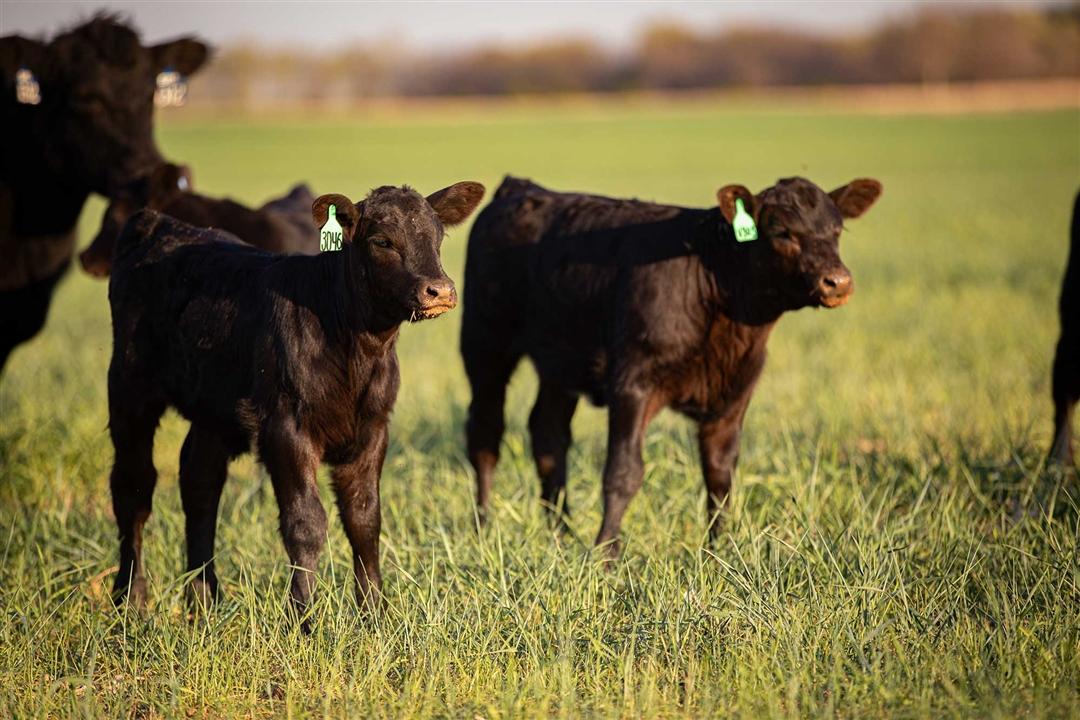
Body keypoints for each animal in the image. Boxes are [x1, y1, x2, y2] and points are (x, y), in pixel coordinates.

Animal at [106, 181, 484, 625]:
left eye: (438, 238)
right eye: (383, 241)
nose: (439, 290)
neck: (354, 347)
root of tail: (157, 222)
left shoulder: (373, 428)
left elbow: (364, 518)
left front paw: (374, 615)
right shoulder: (286, 426)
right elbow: (306, 521)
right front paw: (303, 618)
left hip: (212, 410)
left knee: (199, 482)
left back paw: (203, 600)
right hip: (129, 387)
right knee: (133, 487)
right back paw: (129, 598)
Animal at [461, 175, 882, 557]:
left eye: (836, 230)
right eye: (782, 232)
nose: (837, 281)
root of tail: (521, 187)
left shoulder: (735, 394)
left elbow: (719, 475)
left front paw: (719, 553)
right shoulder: (632, 383)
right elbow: (623, 472)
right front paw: (605, 557)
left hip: (559, 362)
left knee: (548, 434)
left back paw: (561, 534)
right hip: (484, 344)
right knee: (486, 435)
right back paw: (483, 528)